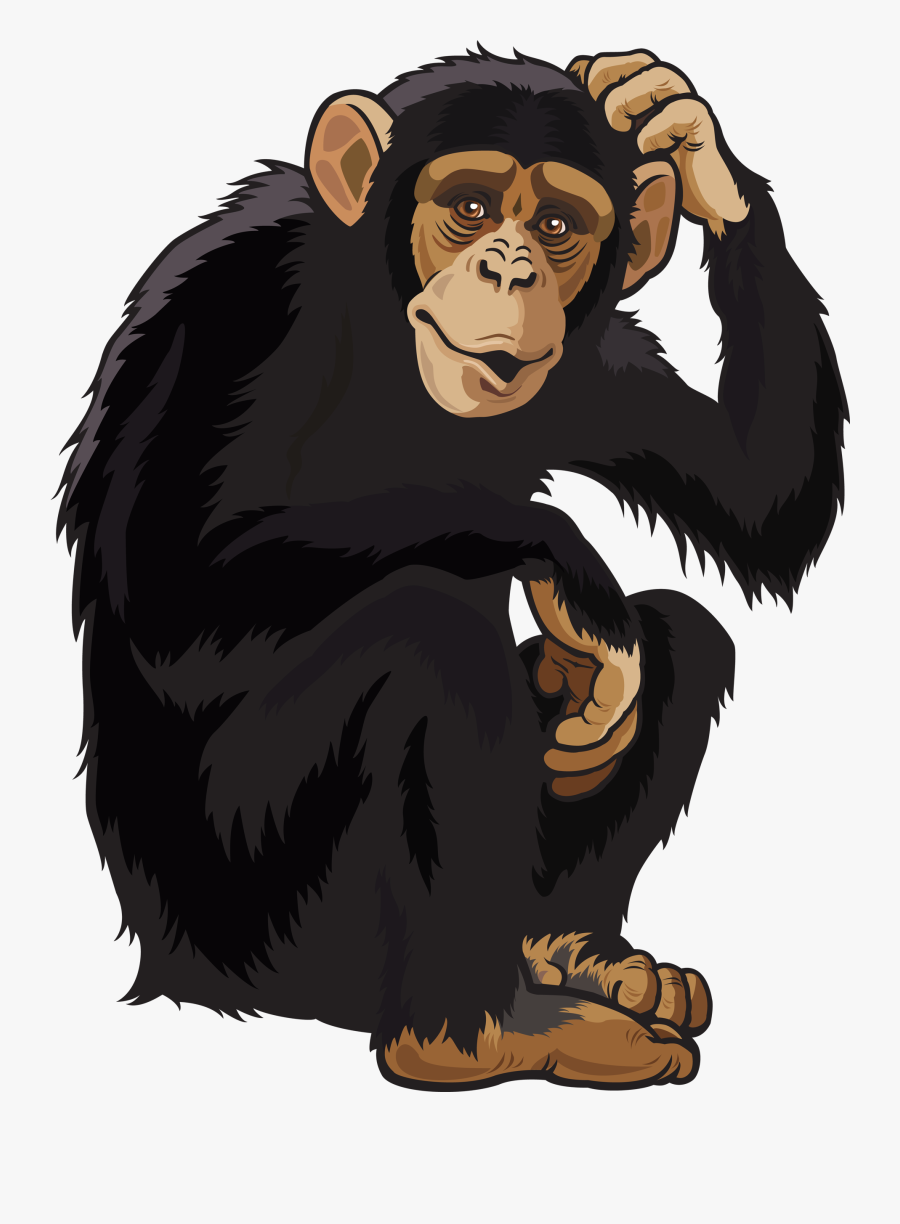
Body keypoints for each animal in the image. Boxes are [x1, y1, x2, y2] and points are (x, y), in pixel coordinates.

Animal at [58, 49, 847, 1088]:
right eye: (469, 207)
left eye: (556, 226)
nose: (509, 266)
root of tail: (169, 965)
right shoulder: (242, 304)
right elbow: (174, 577)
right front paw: (573, 571)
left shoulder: (595, 365)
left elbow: (761, 501)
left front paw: (679, 127)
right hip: (259, 924)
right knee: (426, 638)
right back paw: (473, 1031)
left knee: (688, 628)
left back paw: (576, 956)